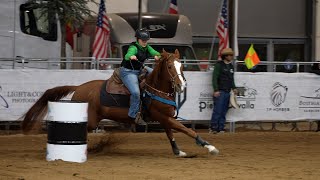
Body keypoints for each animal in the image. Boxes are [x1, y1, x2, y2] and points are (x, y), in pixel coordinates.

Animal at [21, 50, 219, 157]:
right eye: (170, 67)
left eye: (181, 65)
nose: (182, 85)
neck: (155, 88)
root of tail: (78, 87)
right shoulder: (164, 117)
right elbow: (187, 130)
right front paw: (210, 146)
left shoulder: (165, 118)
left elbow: (171, 134)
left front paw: (179, 152)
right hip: (90, 121)